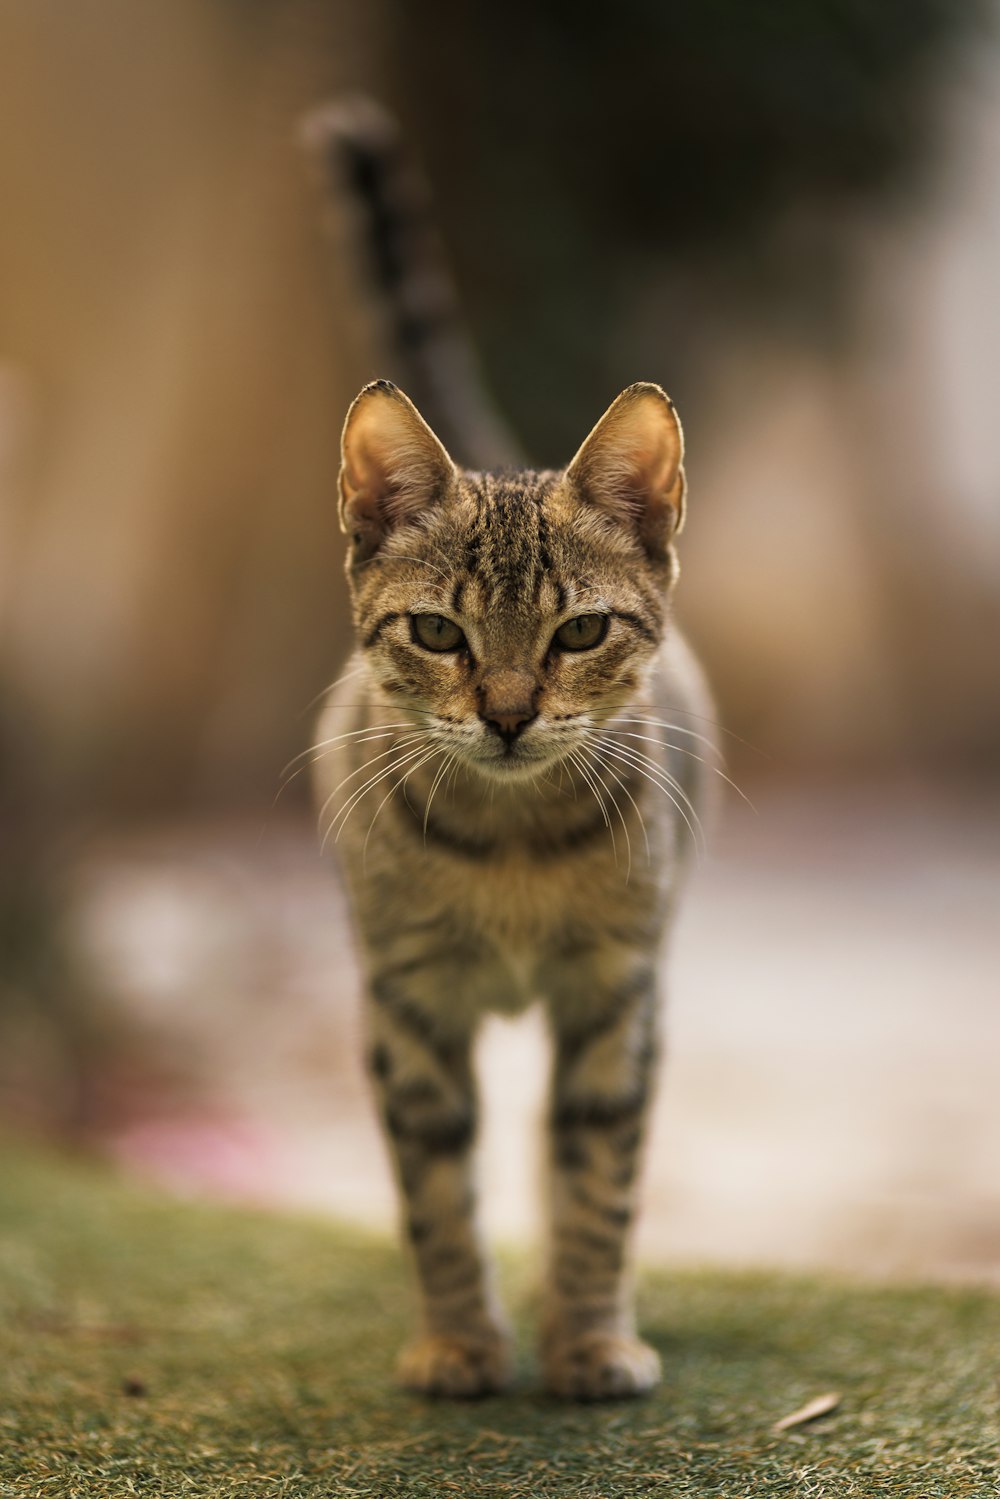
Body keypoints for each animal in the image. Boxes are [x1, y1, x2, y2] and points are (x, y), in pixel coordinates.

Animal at [308, 105, 716, 1403]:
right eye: (438, 632)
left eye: (579, 631)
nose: (504, 713)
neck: (512, 847)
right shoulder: (406, 999)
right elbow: (434, 1186)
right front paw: (458, 1339)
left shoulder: (616, 995)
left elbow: (595, 1177)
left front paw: (585, 1333)